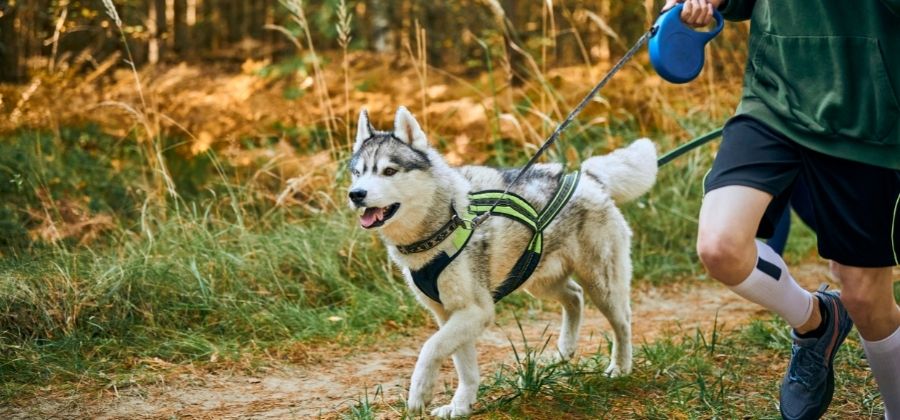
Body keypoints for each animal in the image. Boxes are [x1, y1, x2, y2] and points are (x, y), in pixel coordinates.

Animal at [348, 107, 656, 416]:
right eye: (358, 173)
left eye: (389, 171)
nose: (356, 194)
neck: (442, 227)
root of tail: (586, 177)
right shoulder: (451, 314)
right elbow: (464, 367)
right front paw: (460, 406)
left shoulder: (476, 311)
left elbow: (430, 348)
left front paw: (420, 394)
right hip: (538, 278)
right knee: (574, 297)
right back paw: (562, 353)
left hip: (601, 285)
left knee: (622, 322)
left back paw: (620, 367)